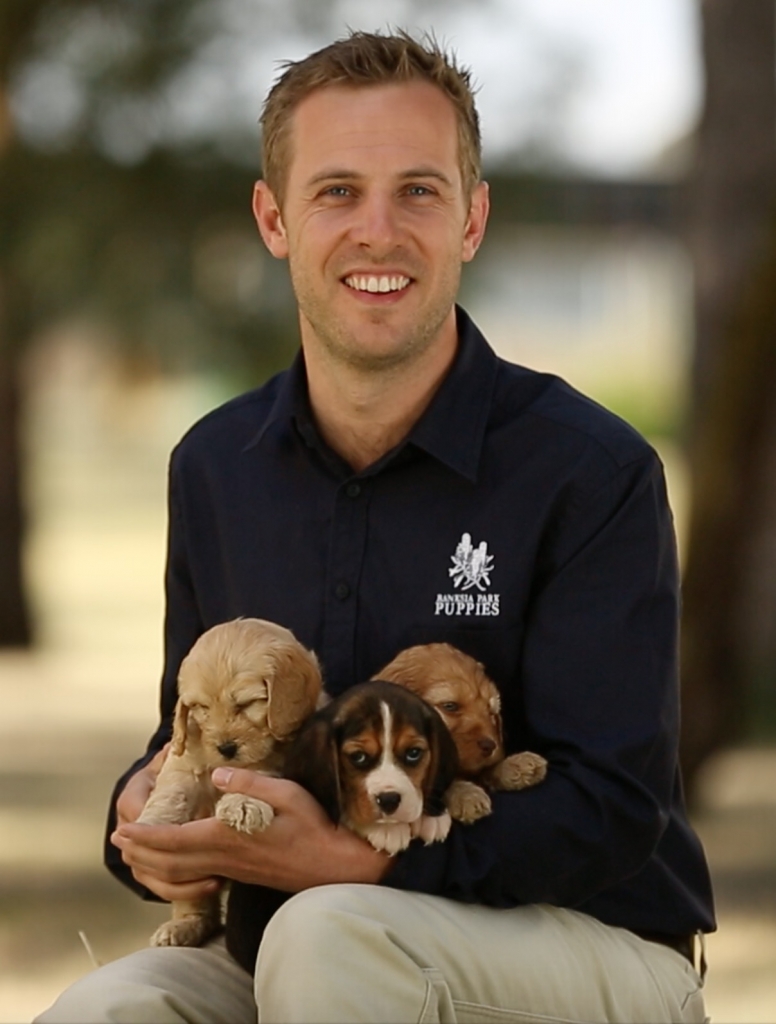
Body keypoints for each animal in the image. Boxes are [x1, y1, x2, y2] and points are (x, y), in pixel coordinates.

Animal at [137, 614, 321, 942]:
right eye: (201, 708)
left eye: (246, 704)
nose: (226, 748)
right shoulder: (182, 758)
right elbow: (171, 790)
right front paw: (152, 823)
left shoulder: (277, 764)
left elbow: (256, 776)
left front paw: (243, 806)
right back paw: (182, 926)